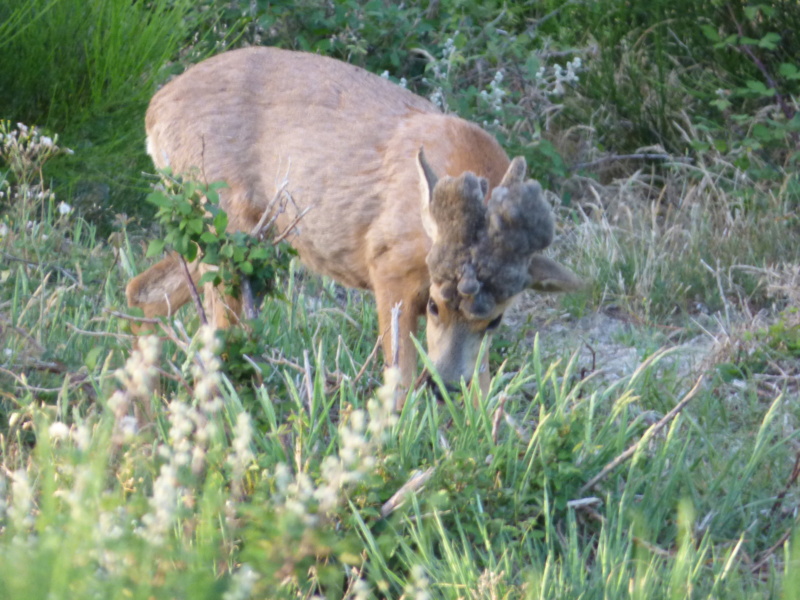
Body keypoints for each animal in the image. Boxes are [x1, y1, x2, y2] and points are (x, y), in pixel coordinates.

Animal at [128, 47, 584, 404]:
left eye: (495, 322)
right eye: (435, 306)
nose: (445, 386)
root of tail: (153, 110)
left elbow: (485, 388)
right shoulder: (388, 266)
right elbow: (398, 381)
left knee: (142, 292)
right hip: (224, 225)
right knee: (211, 339)